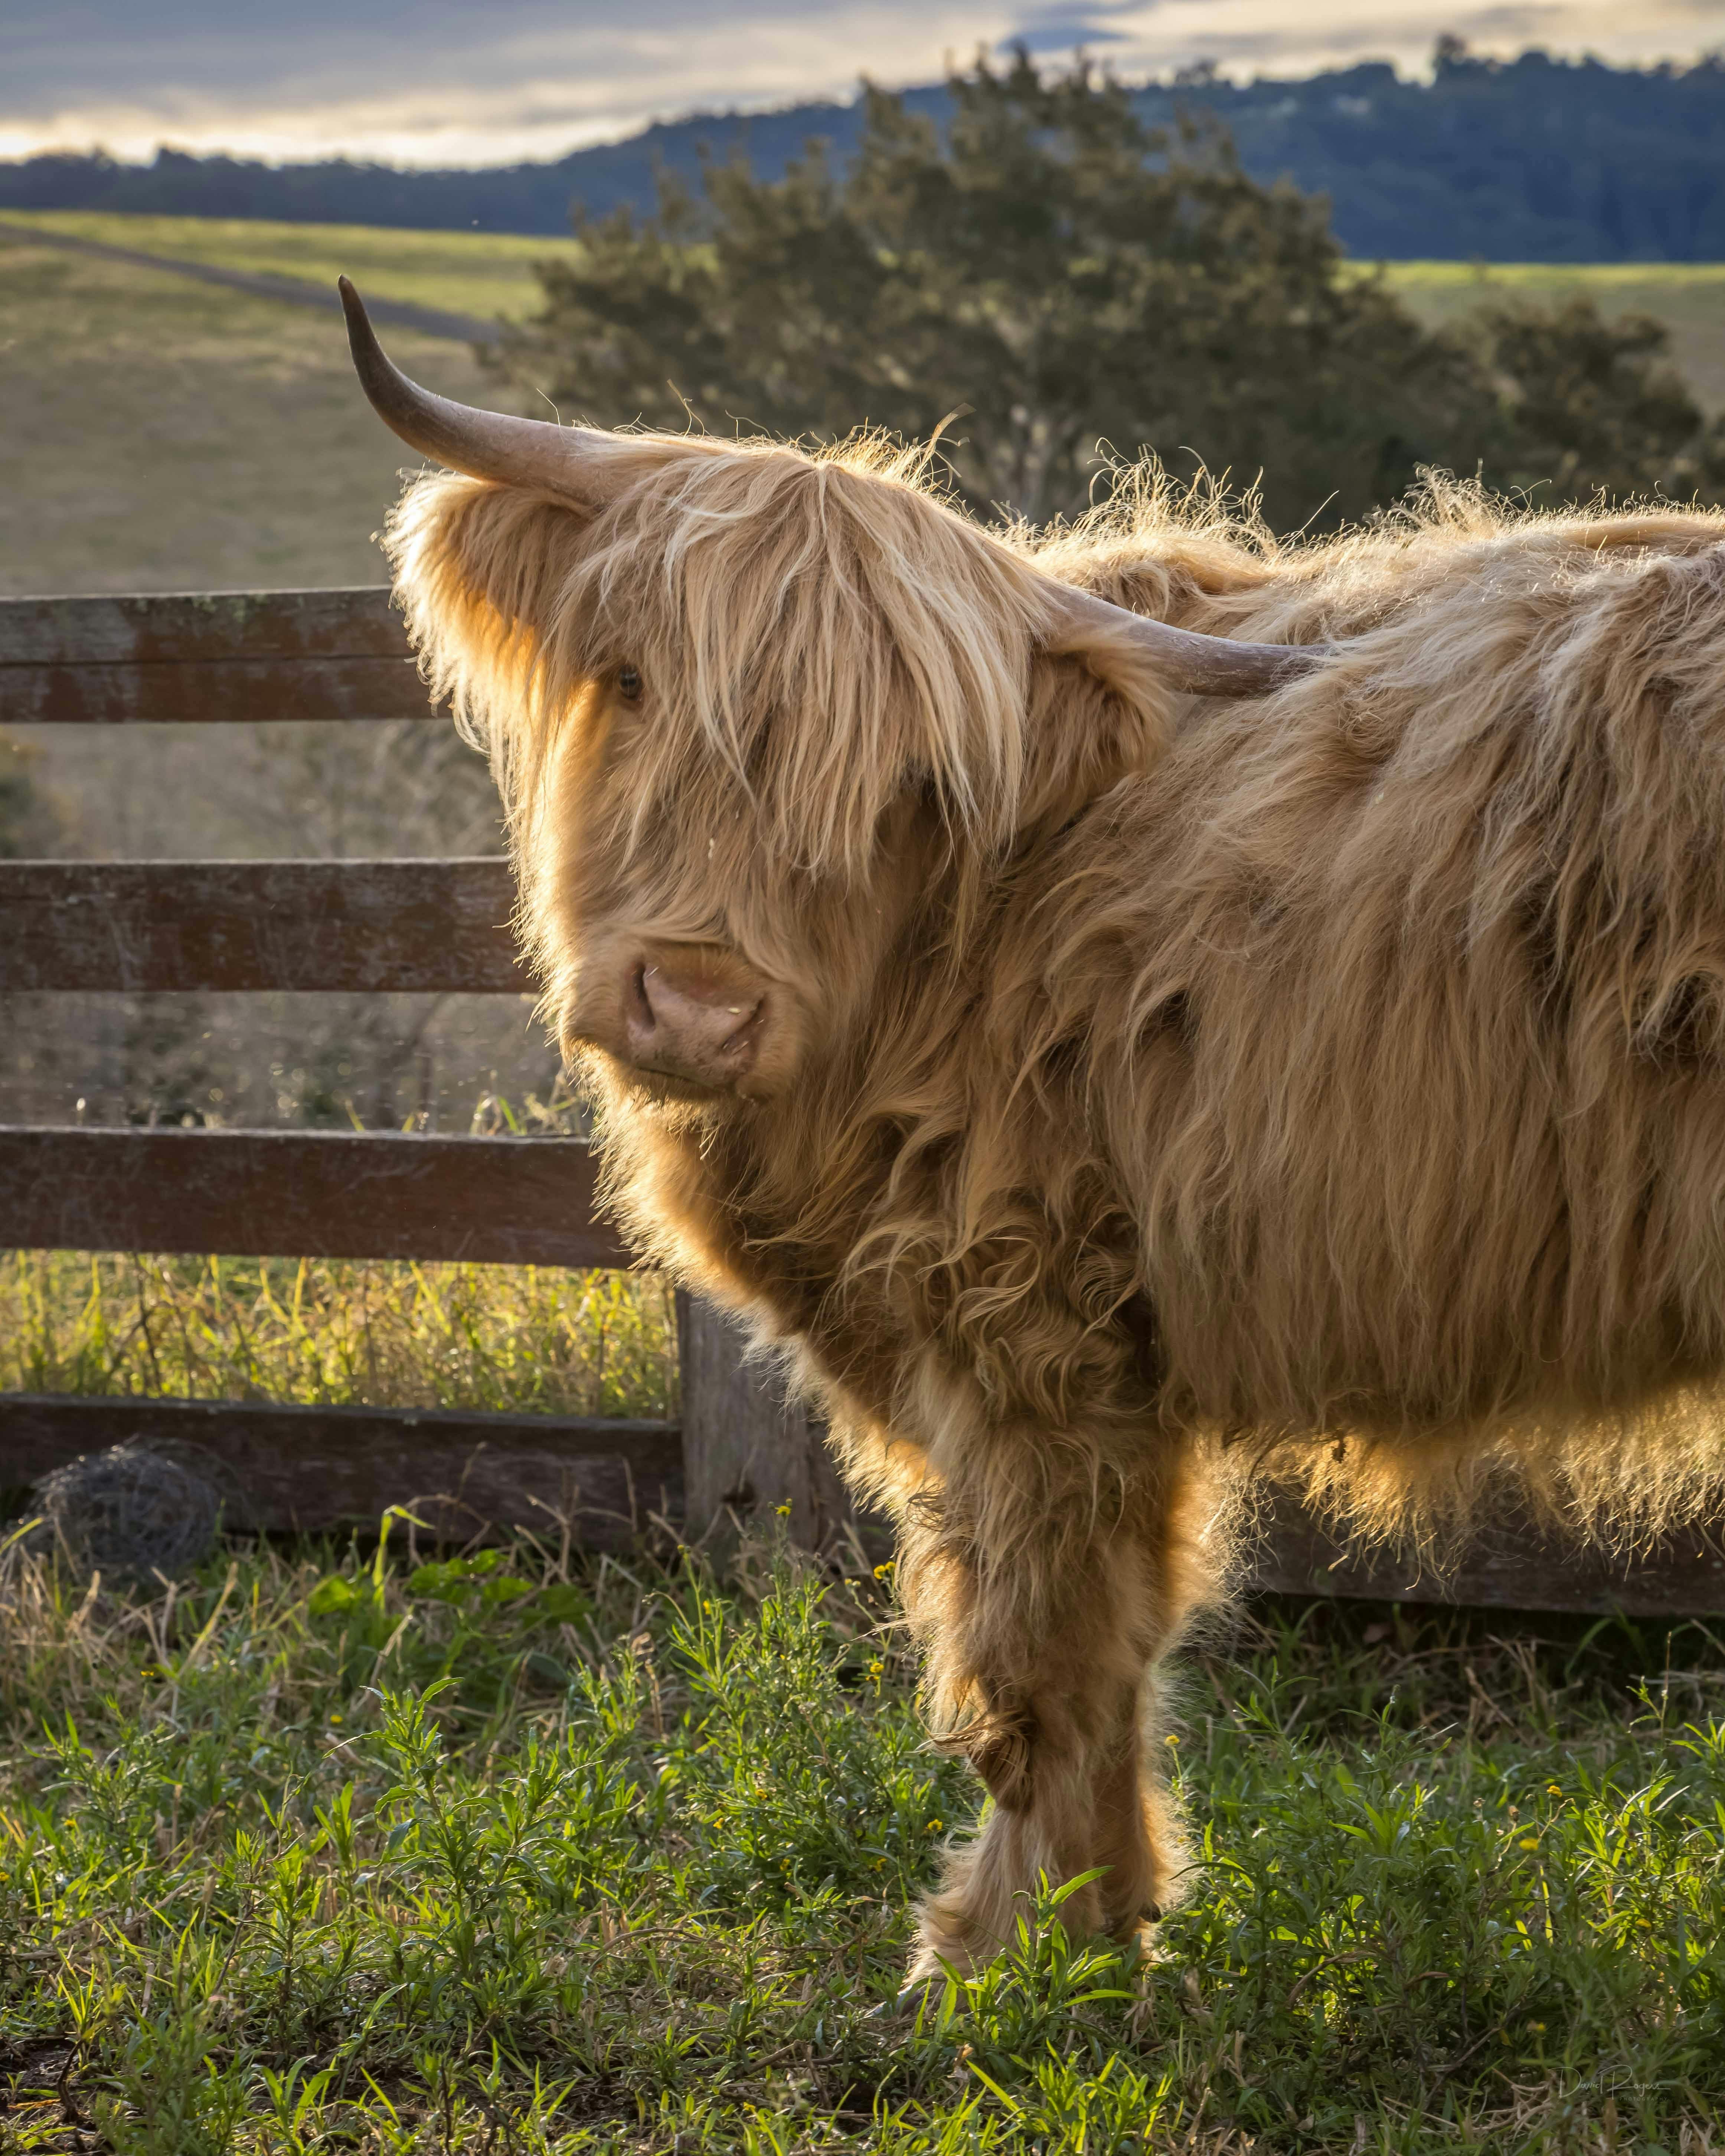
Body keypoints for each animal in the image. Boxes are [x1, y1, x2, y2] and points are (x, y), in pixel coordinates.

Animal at [339, 278, 1725, 1977]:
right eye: (631, 682)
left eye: (896, 777)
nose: (697, 1004)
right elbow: (1092, 1649)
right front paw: (1099, 1927)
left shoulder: (1032, 1329)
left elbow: (1043, 1657)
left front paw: (1008, 1960)